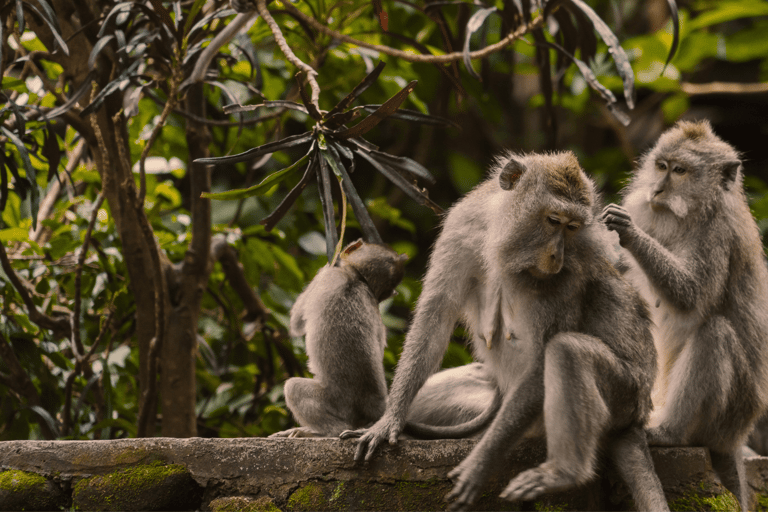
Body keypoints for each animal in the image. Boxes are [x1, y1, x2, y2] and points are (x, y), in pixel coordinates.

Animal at [270, 240, 501, 438]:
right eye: (391, 289)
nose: (396, 293)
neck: (356, 277)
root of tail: (376, 407)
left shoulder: (326, 275)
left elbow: (296, 322)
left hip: (336, 404)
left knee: (293, 388)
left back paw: (323, 432)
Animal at [341, 152, 669, 512]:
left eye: (572, 227)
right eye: (553, 220)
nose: (557, 255)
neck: (500, 235)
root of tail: (637, 418)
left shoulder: (569, 273)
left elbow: (541, 362)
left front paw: (479, 464)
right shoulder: (462, 226)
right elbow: (435, 317)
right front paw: (390, 420)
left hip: (625, 395)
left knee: (567, 351)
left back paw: (564, 472)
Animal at [602, 119, 768, 511]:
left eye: (680, 171)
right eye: (661, 166)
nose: (657, 189)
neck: (690, 213)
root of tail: (736, 437)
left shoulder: (717, 234)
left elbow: (690, 297)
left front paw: (630, 233)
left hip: (729, 417)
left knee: (715, 333)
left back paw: (669, 432)